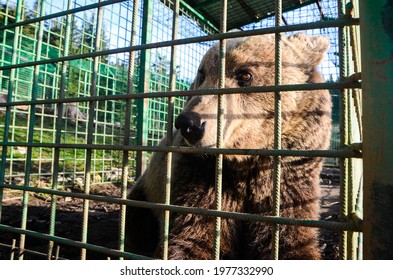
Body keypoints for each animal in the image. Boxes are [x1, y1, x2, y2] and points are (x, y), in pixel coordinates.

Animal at [125, 32, 330, 260]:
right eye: (202, 74)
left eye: (245, 75)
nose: (189, 123)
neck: (245, 161)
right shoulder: (201, 176)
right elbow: (192, 235)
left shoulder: (288, 176)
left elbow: (290, 240)